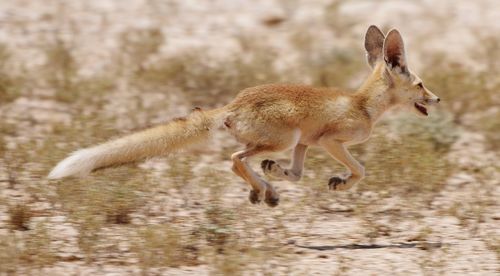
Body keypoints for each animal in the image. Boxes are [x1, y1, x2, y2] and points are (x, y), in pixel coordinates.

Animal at [47, 25, 438, 207]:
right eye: (420, 84)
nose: (436, 99)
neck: (362, 104)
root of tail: (233, 104)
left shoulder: (306, 145)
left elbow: (297, 173)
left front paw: (279, 174)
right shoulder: (330, 140)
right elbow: (360, 170)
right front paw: (340, 182)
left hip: (286, 141)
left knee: (243, 161)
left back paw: (265, 188)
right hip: (282, 138)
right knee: (235, 158)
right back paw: (262, 189)